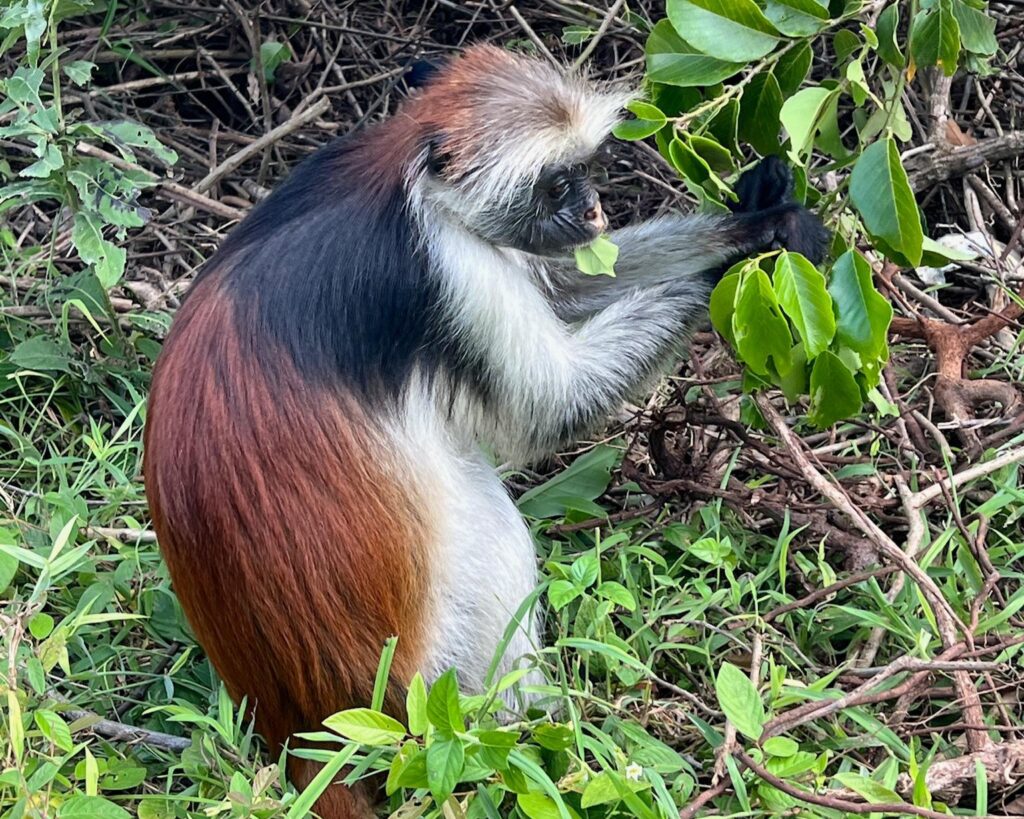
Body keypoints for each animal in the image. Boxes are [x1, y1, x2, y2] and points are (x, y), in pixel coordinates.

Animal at [143, 44, 828, 818]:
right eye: (557, 184)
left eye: (585, 172)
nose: (594, 211)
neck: (404, 179)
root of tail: (299, 726)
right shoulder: (451, 268)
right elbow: (551, 405)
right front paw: (749, 248)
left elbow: (564, 286)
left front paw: (754, 211)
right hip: (415, 684)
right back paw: (541, 736)